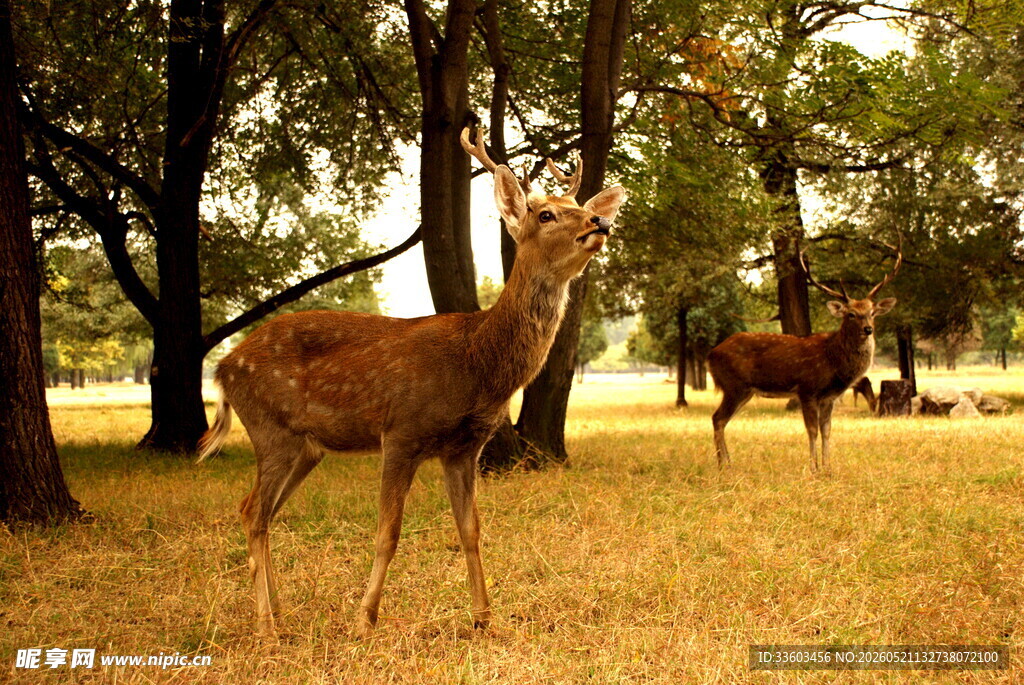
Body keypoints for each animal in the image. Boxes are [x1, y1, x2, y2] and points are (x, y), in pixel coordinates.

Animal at [196, 127, 625, 639]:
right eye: (546, 214)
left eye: (578, 204)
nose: (600, 221)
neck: (477, 363)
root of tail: (223, 368)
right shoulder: (401, 432)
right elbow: (389, 532)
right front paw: (365, 619)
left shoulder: (464, 447)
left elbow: (471, 530)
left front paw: (484, 618)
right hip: (270, 426)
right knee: (254, 513)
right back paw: (267, 626)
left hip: (305, 446)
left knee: (259, 511)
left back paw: (278, 612)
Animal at [707, 244, 901, 474]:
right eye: (851, 314)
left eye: (872, 313)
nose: (868, 329)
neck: (833, 360)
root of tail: (711, 354)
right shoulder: (807, 389)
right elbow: (812, 430)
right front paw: (813, 468)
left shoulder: (829, 397)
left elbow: (827, 430)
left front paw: (828, 468)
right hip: (735, 386)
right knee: (717, 418)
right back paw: (723, 466)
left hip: (744, 390)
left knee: (720, 419)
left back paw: (728, 464)